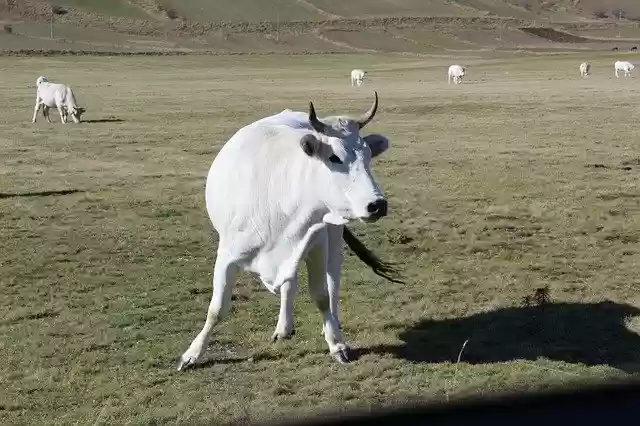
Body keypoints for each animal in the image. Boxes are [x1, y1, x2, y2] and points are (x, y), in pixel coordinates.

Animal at [176, 92, 402, 371]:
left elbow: (321, 296)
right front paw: (192, 353)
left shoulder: (316, 245)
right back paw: (283, 328)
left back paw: (331, 323)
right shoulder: (227, 254)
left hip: (333, 235)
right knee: (290, 285)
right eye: (334, 157)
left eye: (369, 156)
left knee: (332, 281)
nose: (377, 204)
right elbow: (216, 308)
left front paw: (336, 344)